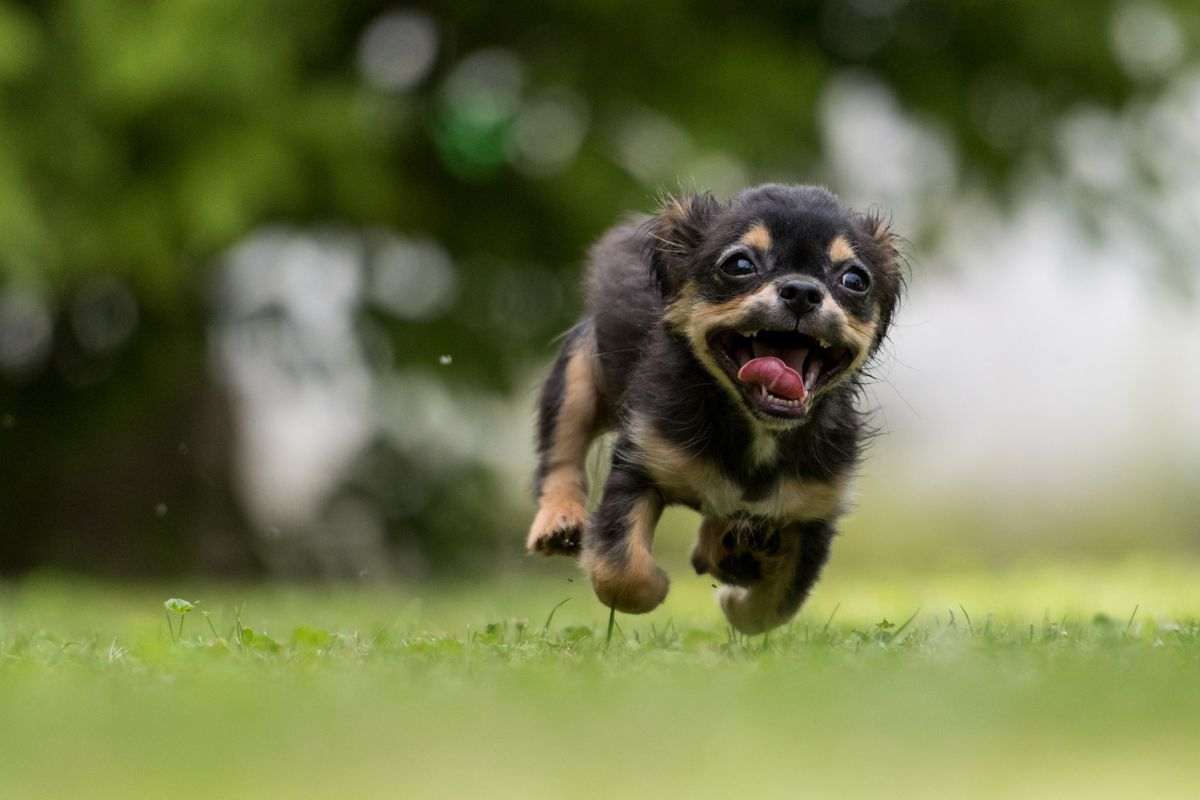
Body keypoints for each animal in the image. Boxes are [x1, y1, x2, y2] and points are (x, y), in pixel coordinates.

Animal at [525, 184, 902, 633]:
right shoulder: (640, 464)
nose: (802, 291)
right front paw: (658, 585)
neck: (756, 428)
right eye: (739, 264)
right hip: (578, 377)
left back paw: (726, 547)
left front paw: (734, 598)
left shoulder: (813, 511)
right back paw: (558, 521)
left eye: (854, 280)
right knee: (561, 452)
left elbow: (772, 608)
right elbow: (621, 572)